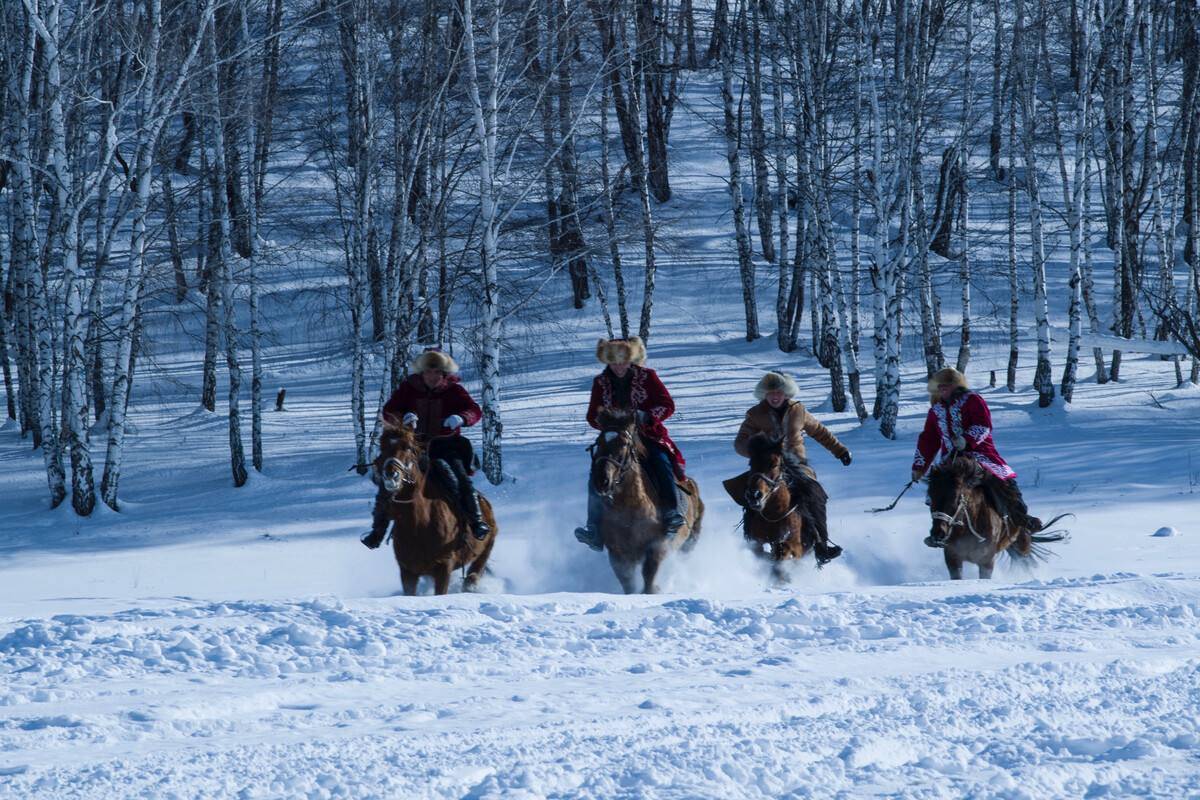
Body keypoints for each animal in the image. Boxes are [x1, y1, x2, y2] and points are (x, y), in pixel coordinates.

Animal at [374, 424, 496, 594]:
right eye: (382, 446)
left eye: (408, 447)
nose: (391, 475)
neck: (419, 524)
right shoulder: (407, 571)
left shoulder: (443, 568)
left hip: (484, 551)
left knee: (473, 575)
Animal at [588, 410, 700, 592]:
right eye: (599, 442)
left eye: (624, 444)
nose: (602, 481)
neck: (630, 507)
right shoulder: (617, 554)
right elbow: (628, 585)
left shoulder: (657, 547)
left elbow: (648, 577)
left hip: (688, 543)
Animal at [921, 455, 1065, 582]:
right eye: (931, 497)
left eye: (956, 498)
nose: (938, 534)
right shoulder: (952, 558)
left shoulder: (986, 560)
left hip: (1021, 545)